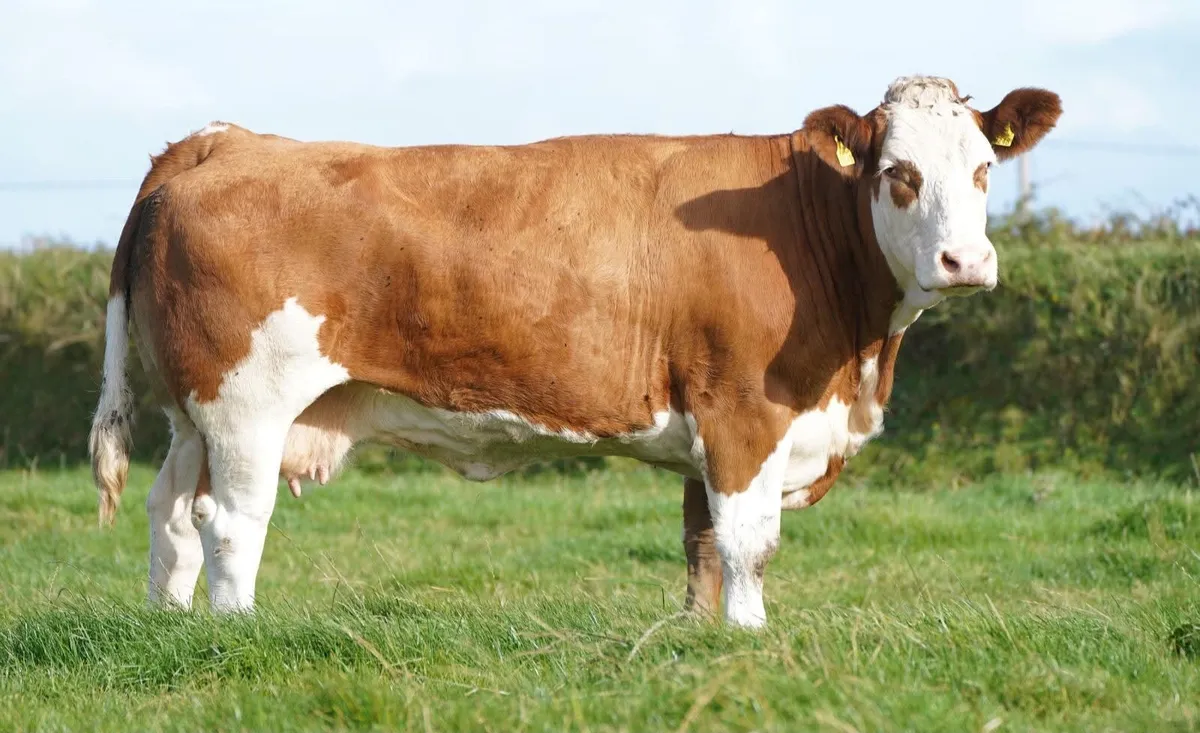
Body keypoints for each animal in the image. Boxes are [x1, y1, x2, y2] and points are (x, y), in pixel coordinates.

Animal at [88, 75, 1061, 628]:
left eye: (984, 168)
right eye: (897, 173)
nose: (966, 261)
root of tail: (221, 141)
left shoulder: (707, 425)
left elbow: (701, 543)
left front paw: (699, 637)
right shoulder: (744, 411)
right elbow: (748, 541)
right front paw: (752, 637)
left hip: (191, 414)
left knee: (171, 512)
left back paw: (173, 627)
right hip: (246, 405)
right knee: (230, 521)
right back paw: (235, 632)